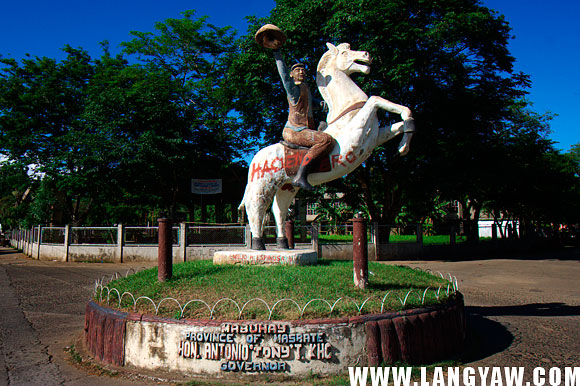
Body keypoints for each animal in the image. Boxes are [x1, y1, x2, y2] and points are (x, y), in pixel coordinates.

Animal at [238, 40, 414, 249]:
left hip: (287, 186)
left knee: (278, 210)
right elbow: (375, 99)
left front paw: (403, 147)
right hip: (262, 185)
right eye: (345, 52)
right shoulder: (357, 133)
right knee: (256, 207)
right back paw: (258, 244)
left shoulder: (376, 136)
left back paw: (283, 244)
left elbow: (400, 123)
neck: (347, 110)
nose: (367, 54)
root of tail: (255, 159)